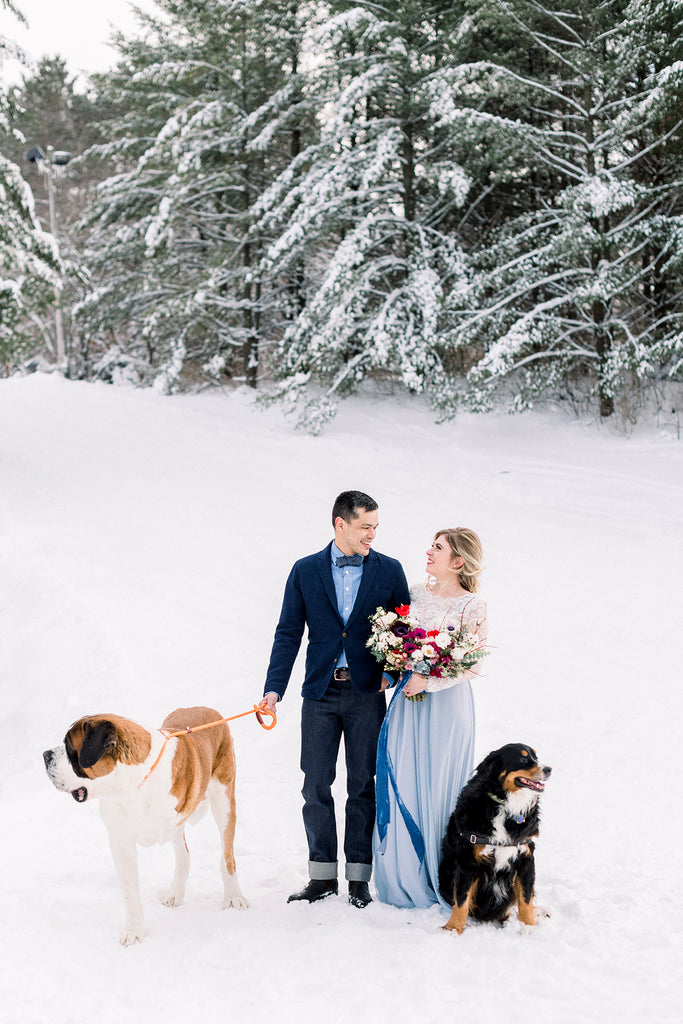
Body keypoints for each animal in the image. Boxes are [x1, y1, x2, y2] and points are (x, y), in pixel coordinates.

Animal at [41, 708, 248, 946]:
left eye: (69, 748)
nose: (45, 755)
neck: (130, 786)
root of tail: (209, 709)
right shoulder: (121, 841)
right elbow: (130, 890)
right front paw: (134, 930)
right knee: (184, 854)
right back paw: (175, 893)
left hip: (224, 800)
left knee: (227, 855)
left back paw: (234, 896)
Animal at [440, 745, 552, 937]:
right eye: (523, 759)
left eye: (536, 757)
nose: (549, 769)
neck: (506, 806)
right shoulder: (467, 861)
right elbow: (462, 899)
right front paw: (453, 929)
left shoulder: (526, 858)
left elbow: (526, 897)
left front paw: (528, 926)